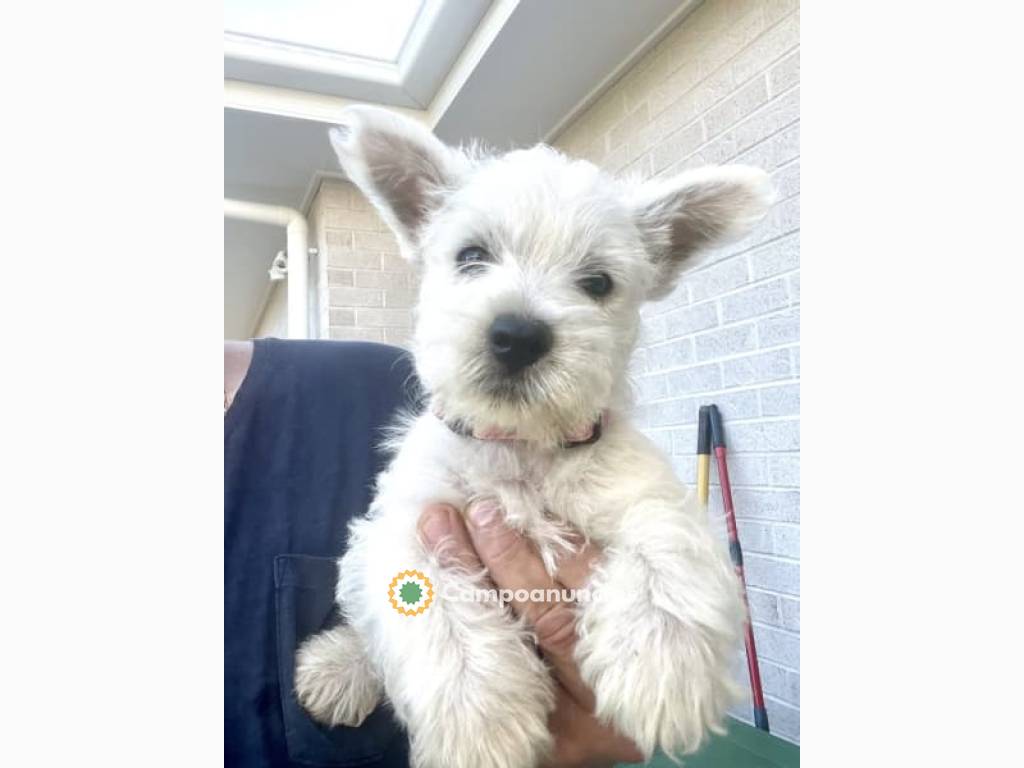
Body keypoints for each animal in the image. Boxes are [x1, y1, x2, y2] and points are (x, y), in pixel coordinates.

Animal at [296, 107, 774, 768]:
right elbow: (440, 610)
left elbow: (665, 551)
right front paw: (481, 723)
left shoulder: (646, 491)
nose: (518, 335)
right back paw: (337, 670)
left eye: (597, 282)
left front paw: (663, 672)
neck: (519, 446)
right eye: (472, 254)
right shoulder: (409, 524)